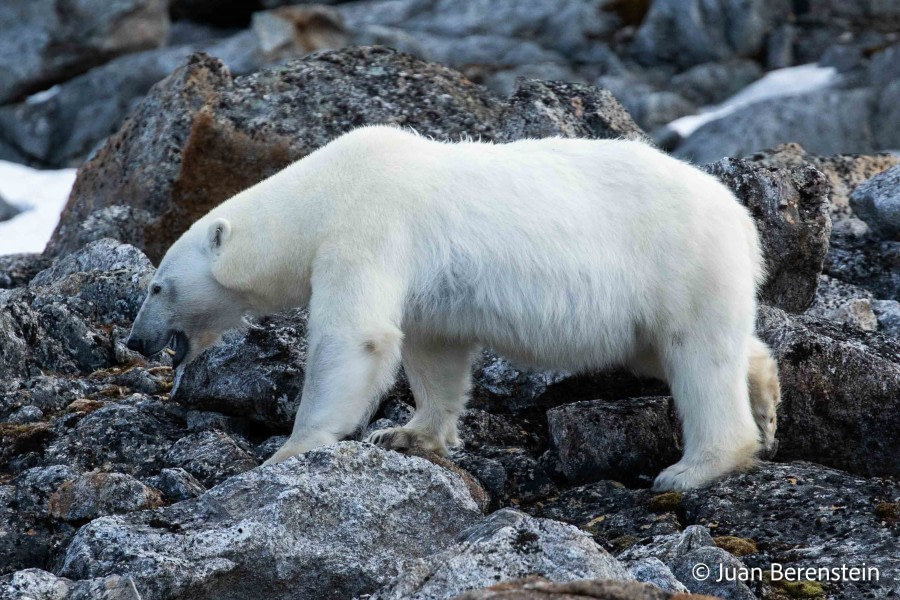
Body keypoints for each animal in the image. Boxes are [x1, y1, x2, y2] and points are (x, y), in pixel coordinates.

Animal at [126, 124, 780, 490]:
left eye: (157, 285)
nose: (134, 340)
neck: (319, 194)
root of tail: (742, 218)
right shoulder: (424, 284)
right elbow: (434, 349)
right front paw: (408, 435)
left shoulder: (366, 226)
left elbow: (355, 336)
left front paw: (291, 449)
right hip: (647, 305)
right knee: (673, 350)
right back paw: (766, 394)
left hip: (679, 264)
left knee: (696, 358)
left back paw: (694, 468)